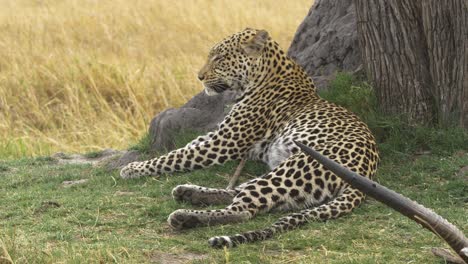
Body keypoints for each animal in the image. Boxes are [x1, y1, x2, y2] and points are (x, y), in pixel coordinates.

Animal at [120, 28, 380, 248]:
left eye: (219, 58)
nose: (199, 77)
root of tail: (365, 175)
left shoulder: (225, 142)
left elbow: (177, 156)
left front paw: (133, 168)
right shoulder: (220, 134)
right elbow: (187, 146)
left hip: (297, 166)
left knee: (244, 209)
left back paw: (185, 217)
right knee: (241, 192)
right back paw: (189, 192)